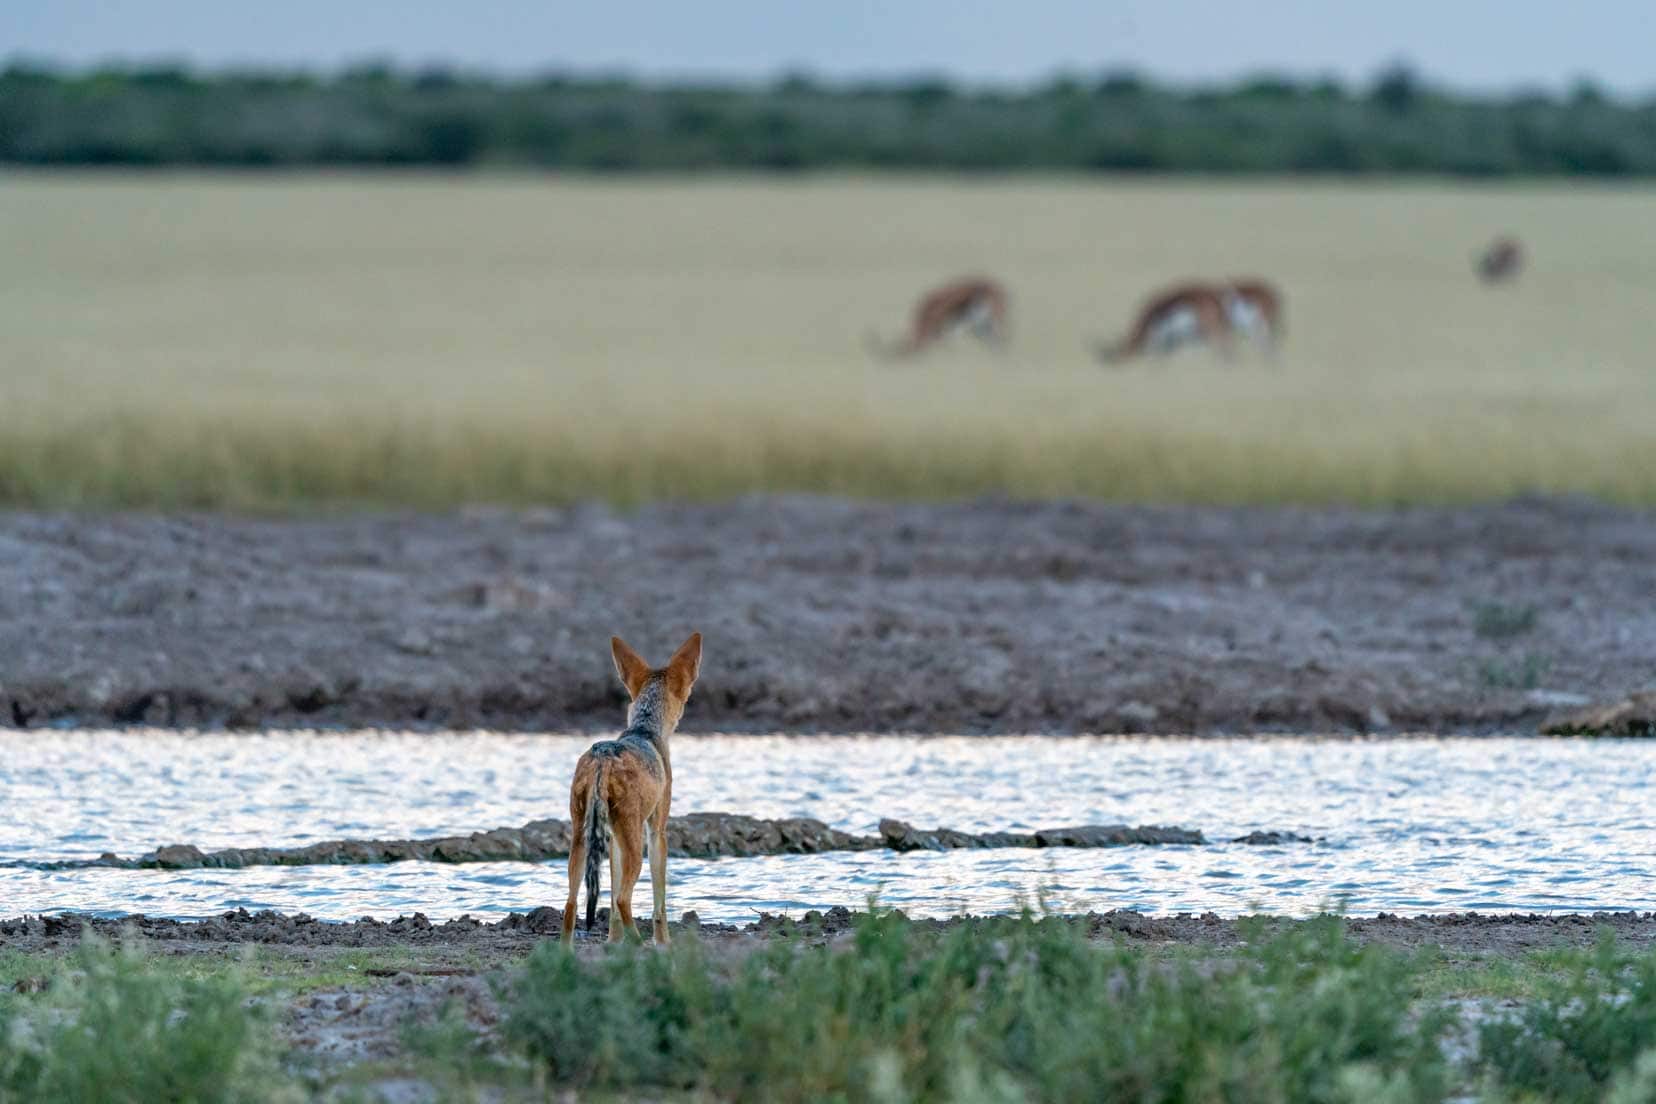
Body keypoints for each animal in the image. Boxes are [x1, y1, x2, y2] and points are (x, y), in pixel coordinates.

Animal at [867, 276, 1006, 359]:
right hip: (982, 325)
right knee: (995, 341)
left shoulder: (947, 326)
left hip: (992, 320)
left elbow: (947, 343)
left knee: (1001, 339)